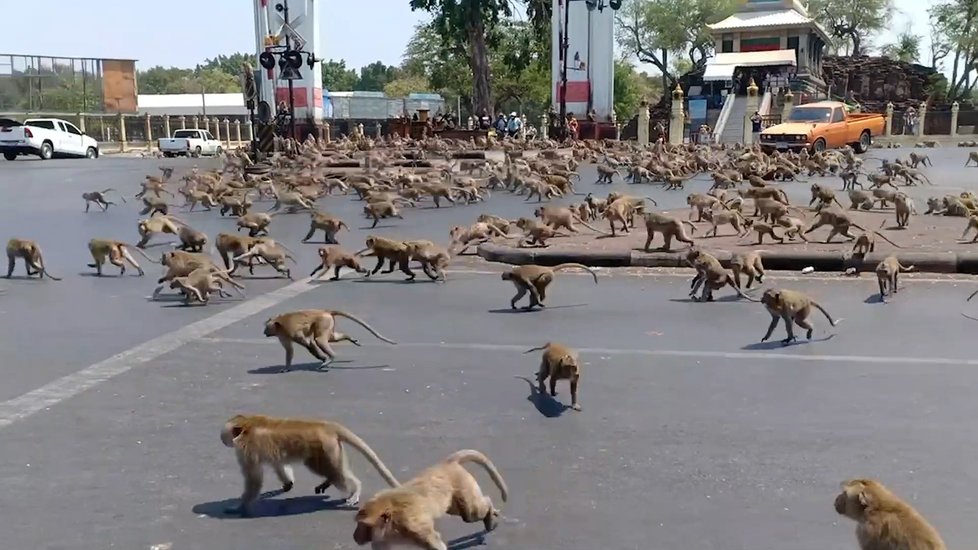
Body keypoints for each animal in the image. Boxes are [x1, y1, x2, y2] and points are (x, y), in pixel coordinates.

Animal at [221, 416, 400, 520]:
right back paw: (331, 483)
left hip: (325, 449)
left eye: (223, 434)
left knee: (333, 472)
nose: (222, 439)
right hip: (331, 449)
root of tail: (326, 426)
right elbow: (279, 464)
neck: (247, 425)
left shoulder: (248, 451)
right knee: (333, 472)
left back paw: (355, 489)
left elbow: (254, 479)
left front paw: (240, 506)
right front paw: (287, 483)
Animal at [264, 308, 396, 374]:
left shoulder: (291, 331)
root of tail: (325, 311)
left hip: (323, 321)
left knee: (319, 340)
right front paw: (286, 368)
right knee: (331, 338)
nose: (264, 332)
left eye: (266, 327)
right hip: (328, 322)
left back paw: (331, 358)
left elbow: (308, 343)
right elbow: (289, 350)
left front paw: (323, 358)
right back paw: (349, 338)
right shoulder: (283, 335)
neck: (280, 324)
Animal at [350, 452, 508, 550]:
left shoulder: (412, 526)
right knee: (463, 512)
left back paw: (489, 511)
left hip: (463, 484)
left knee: (470, 514)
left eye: (363, 525)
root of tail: (447, 464)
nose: (355, 536)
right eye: (358, 524)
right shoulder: (382, 539)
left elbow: (435, 543)